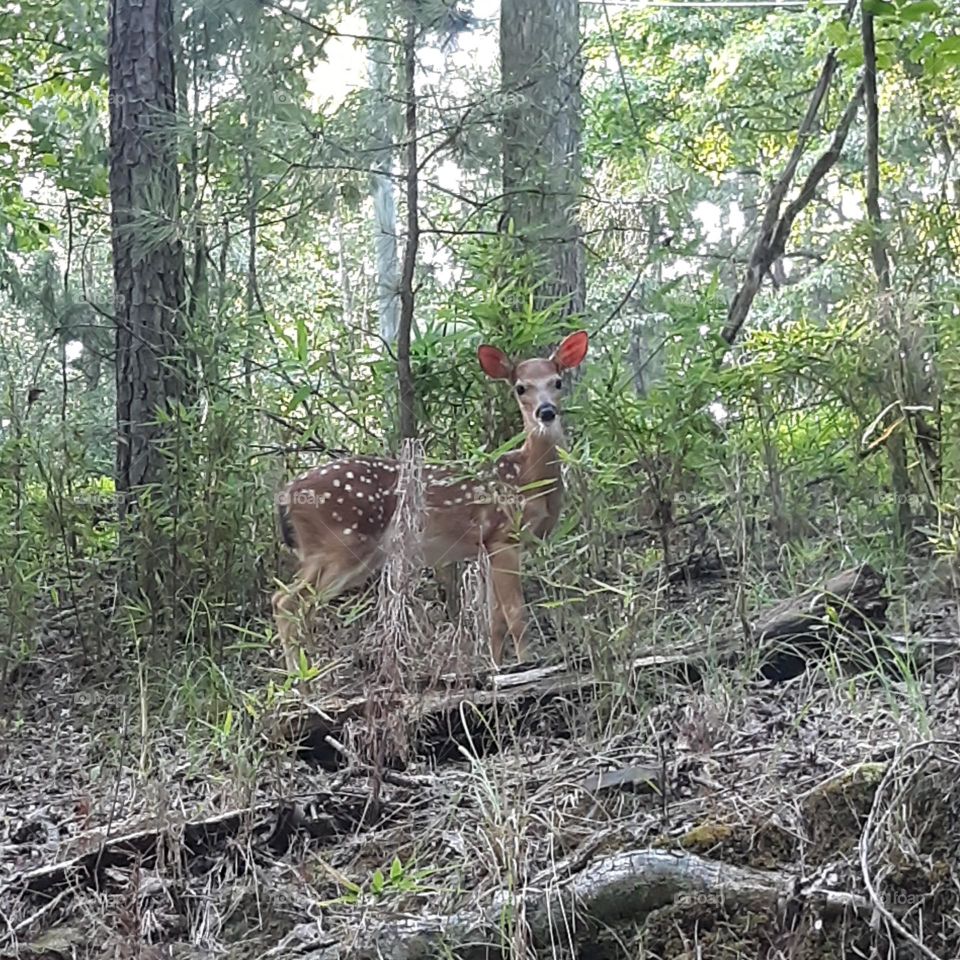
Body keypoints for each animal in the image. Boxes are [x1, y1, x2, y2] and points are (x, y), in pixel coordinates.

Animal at [272, 330, 589, 673]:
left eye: (557, 381)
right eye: (520, 388)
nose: (546, 411)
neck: (529, 478)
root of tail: (285, 496)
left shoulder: (484, 548)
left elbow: (495, 622)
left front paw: (495, 668)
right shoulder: (504, 536)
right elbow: (516, 616)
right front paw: (526, 665)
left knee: (295, 605)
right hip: (338, 544)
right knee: (286, 602)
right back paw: (302, 679)